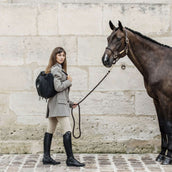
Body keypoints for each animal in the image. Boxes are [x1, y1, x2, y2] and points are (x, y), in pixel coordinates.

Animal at [102, 20, 172, 165]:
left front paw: (168, 157)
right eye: (108, 38)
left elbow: (168, 126)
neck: (160, 63)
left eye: (118, 38)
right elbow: (162, 126)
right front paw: (161, 155)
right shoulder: (157, 100)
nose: (105, 60)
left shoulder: (166, 100)